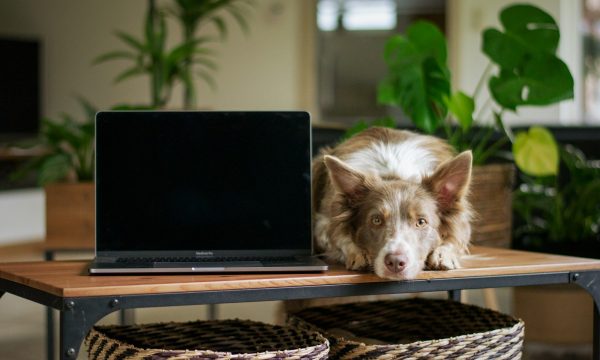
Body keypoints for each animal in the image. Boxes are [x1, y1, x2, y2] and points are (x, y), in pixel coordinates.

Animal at [312, 127, 472, 282]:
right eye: (376, 220)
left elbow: (456, 238)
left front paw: (443, 254)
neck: (394, 176)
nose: (395, 262)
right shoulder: (324, 223)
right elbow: (339, 238)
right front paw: (358, 253)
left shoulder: (462, 223)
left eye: (421, 222)